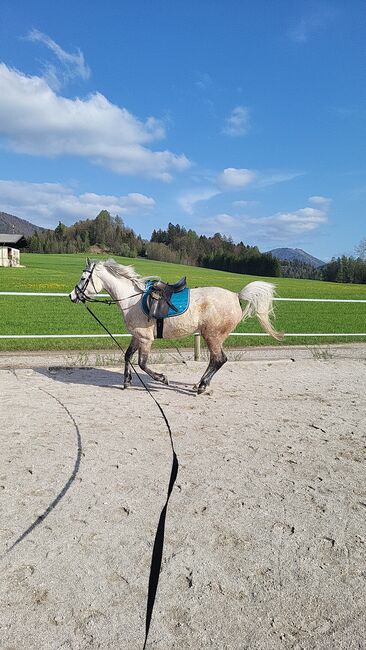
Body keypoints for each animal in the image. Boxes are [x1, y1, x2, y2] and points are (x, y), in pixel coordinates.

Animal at [69, 256, 284, 390]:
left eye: (83, 278)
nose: (72, 296)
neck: (132, 299)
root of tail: (236, 296)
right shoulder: (137, 336)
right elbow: (128, 356)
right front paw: (126, 381)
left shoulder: (146, 339)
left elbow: (142, 363)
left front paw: (162, 378)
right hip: (212, 336)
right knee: (215, 360)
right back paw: (200, 384)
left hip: (212, 335)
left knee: (219, 359)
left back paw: (202, 386)